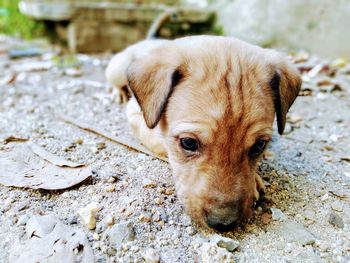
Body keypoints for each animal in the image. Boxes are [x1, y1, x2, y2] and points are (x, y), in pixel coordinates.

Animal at [105, 35, 300, 231]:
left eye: (259, 145)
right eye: (188, 143)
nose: (223, 223)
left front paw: (255, 179)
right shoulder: (136, 115)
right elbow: (161, 142)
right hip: (118, 70)